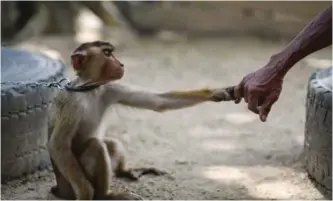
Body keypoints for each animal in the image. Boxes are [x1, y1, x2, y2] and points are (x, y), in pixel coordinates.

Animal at [48, 40, 237, 199]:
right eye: (107, 54)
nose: (121, 64)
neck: (89, 89)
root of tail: (61, 189)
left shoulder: (110, 88)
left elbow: (159, 102)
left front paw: (217, 92)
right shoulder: (71, 103)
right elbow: (59, 146)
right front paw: (86, 192)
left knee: (110, 144)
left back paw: (125, 171)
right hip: (70, 182)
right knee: (96, 146)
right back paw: (105, 195)